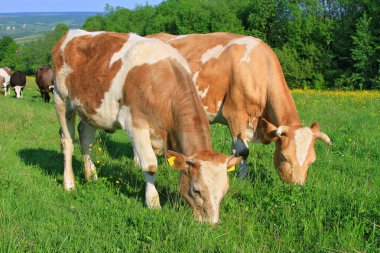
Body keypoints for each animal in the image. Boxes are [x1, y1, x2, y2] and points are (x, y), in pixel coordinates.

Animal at [51, 28, 240, 224]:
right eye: (196, 190)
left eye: (224, 191)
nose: (213, 223)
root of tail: (72, 33)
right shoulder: (135, 124)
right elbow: (150, 165)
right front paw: (153, 203)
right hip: (61, 99)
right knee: (67, 142)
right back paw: (69, 183)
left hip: (90, 109)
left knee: (86, 139)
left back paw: (92, 176)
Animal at [147, 32, 332, 185]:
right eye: (285, 156)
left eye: (312, 160)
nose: (297, 186)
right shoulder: (235, 114)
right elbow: (243, 151)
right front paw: (244, 179)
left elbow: (235, 150)